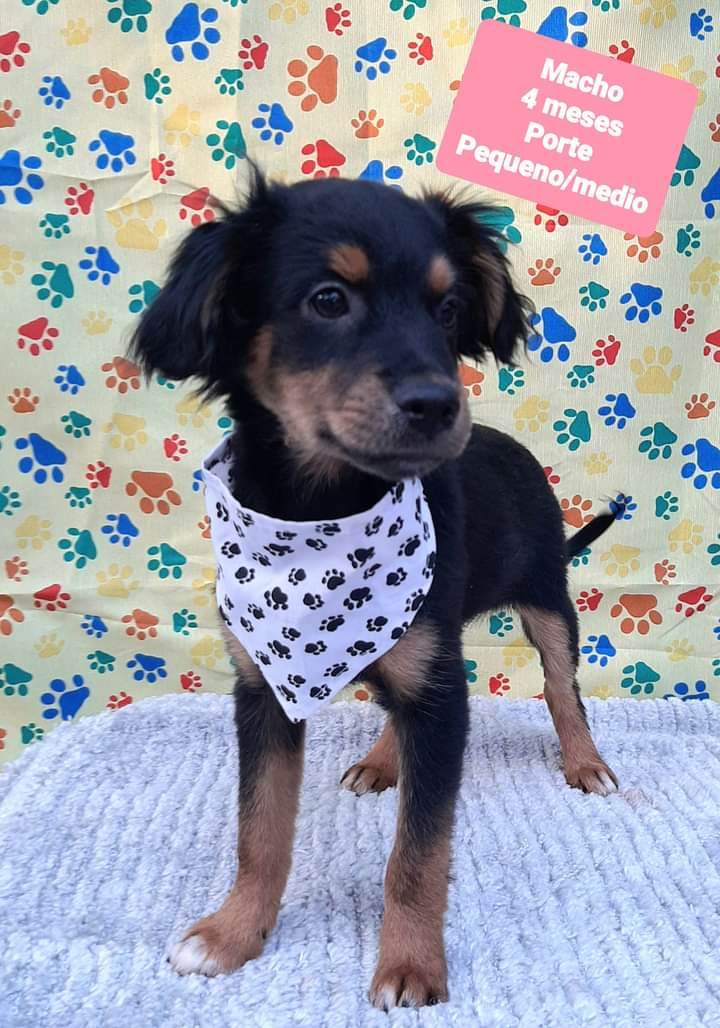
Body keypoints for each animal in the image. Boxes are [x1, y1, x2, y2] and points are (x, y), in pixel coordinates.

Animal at [130, 166, 619, 1011]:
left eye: (449, 309)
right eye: (329, 300)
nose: (438, 405)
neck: (320, 512)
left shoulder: (443, 693)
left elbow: (418, 855)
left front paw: (412, 965)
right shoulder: (263, 689)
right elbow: (260, 830)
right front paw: (233, 933)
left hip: (547, 602)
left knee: (562, 688)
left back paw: (583, 761)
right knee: (399, 700)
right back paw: (385, 759)